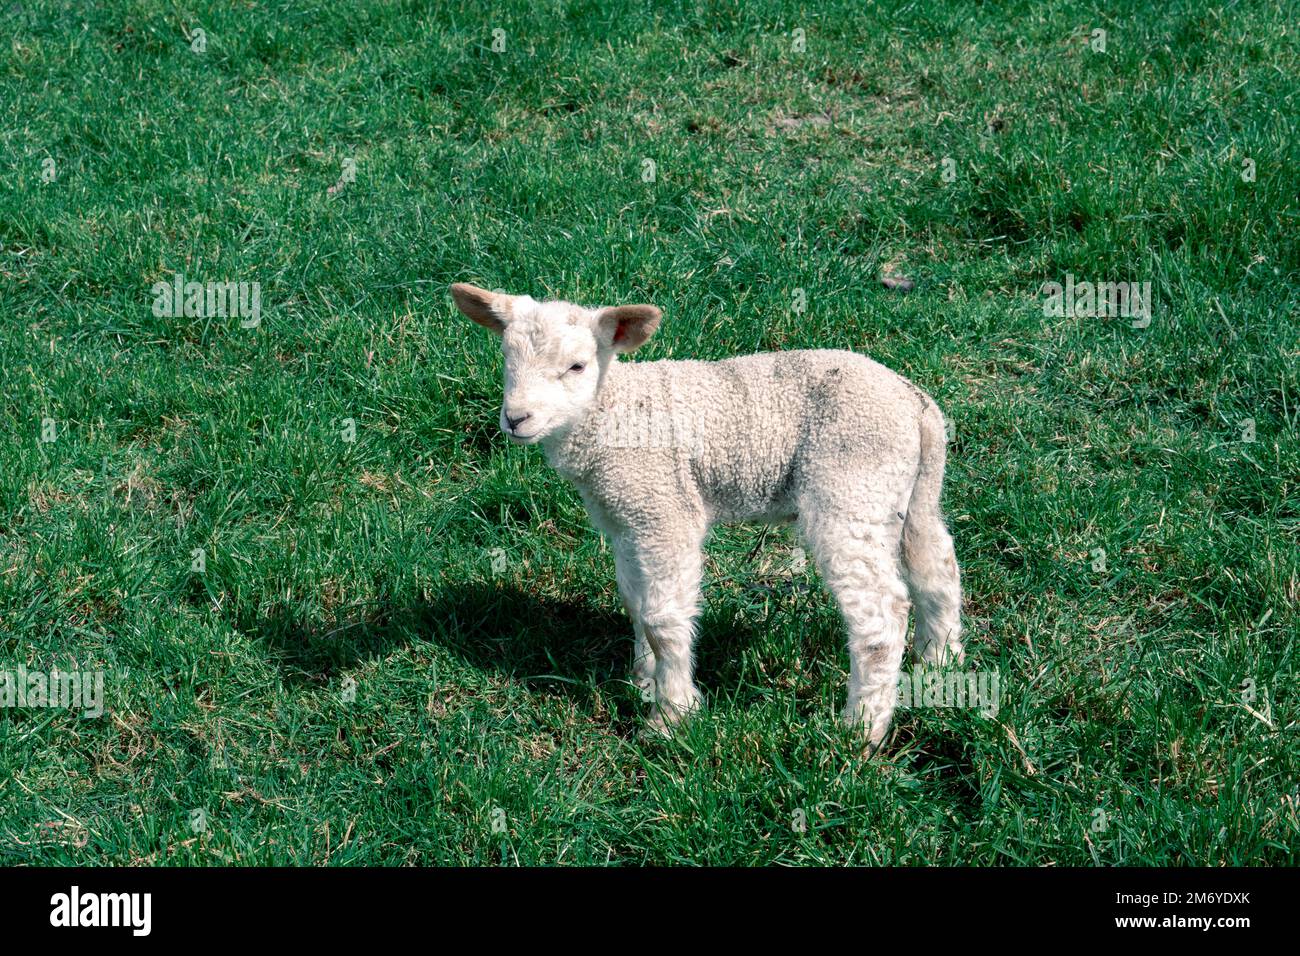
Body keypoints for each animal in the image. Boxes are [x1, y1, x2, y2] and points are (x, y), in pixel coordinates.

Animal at [451, 282, 963, 750]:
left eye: (577, 366)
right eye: (506, 357)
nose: (516, 418)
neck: (611, 412)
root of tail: (917, 406)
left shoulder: (663, 510)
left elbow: (663, 620)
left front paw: (672, 715)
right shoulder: (626, 519)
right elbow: (636, 603)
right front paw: (643, 679)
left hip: (850, 486)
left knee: (881, 612)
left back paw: (860, 729)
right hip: (909, 489)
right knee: (936, 567)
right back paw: (939, 668)